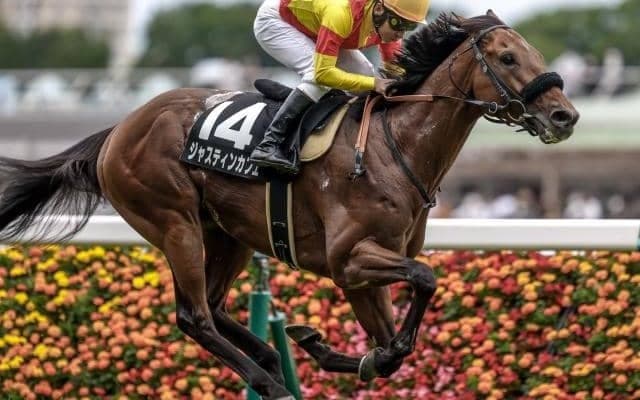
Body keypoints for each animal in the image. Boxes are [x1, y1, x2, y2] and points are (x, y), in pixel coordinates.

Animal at [0, 12, 578, 400]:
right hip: (174, 221)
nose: (565, 115)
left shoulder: (362, 273)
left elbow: (392, 344)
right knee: (194, 316)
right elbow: (425, 279)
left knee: (215, 307)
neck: (394, 147)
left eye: (535, 55)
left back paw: (272, 355)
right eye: (507, 58)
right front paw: (348, 350)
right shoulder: (350, 259)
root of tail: (119, 129)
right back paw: (268, 378)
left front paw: (337, 348)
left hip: (226, 233)